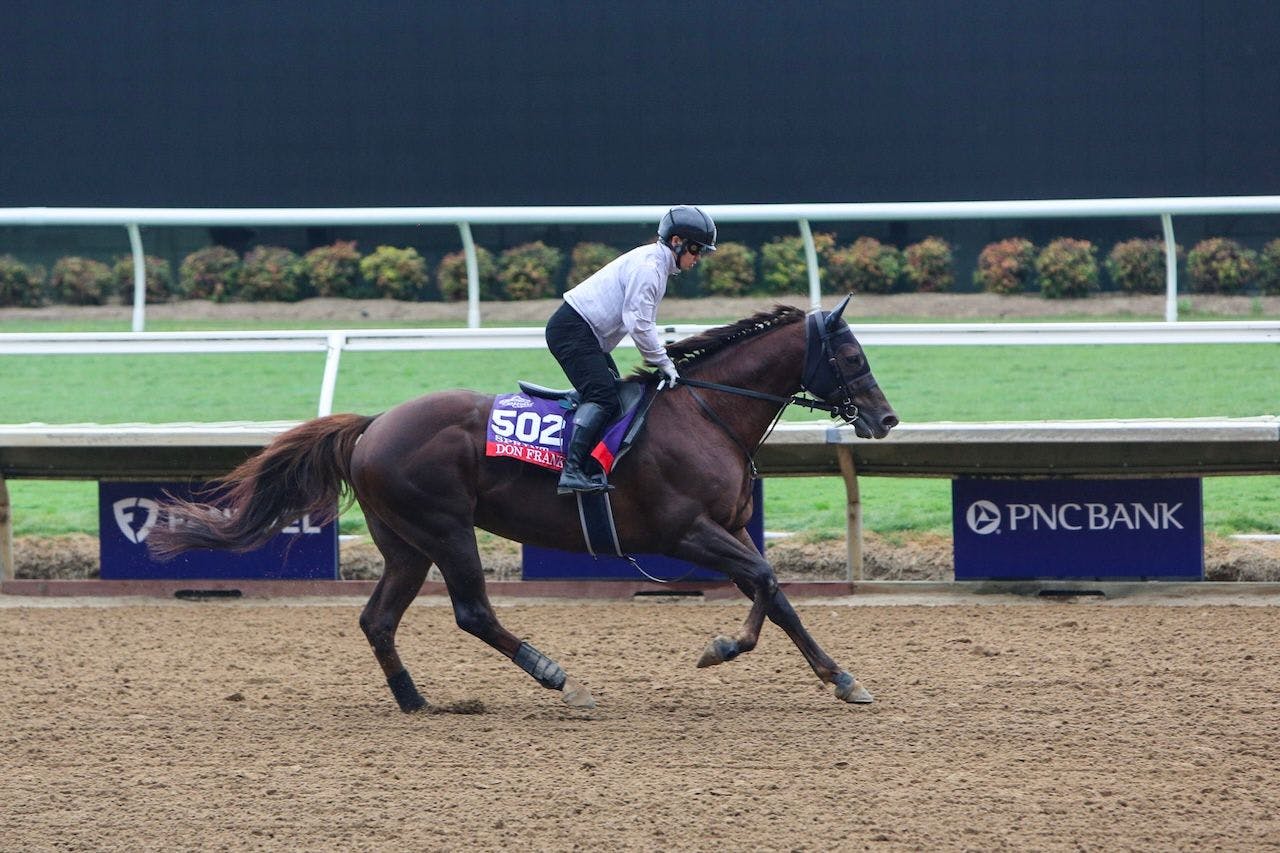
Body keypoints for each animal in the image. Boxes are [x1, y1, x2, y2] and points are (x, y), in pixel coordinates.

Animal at [147, 297, 901, 712]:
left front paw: (816, 670)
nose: (885, 419)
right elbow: (767, 582)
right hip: (446, 529)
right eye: (852, 356)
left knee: (377, 619)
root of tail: (374, 423)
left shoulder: (733, 526)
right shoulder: (687, 531)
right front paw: (751, 655)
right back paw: (557, 676)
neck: (706, 413)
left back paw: (417, 700)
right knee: (473, 612)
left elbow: (771, 591)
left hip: (405, 543)